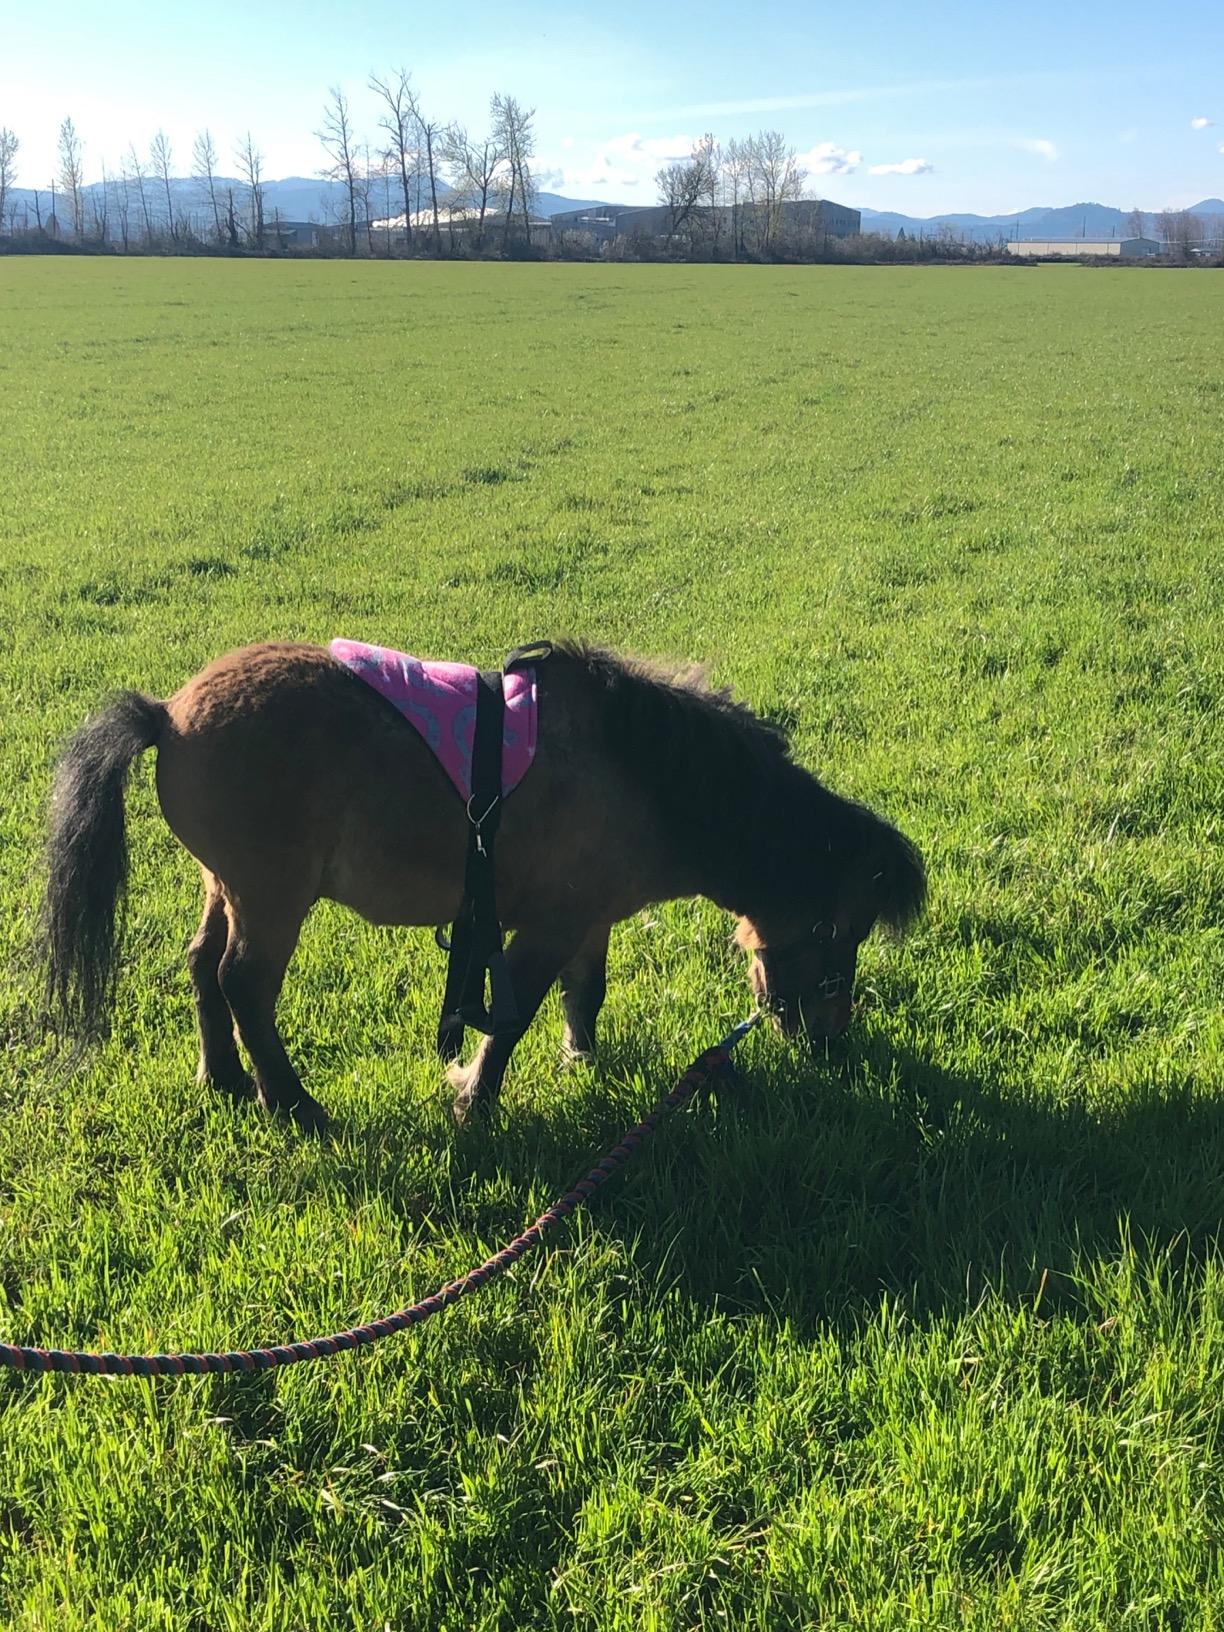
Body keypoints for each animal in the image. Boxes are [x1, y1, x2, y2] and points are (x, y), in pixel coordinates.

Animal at [41, 640, 926, 1133]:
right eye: (838, 934)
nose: (829, 1041)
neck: (641, 773)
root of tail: (168, 712)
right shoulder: (543, 927)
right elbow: (511, 1014)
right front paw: (477, 1099)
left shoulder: (589, 919)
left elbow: (584, 994)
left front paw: (580, 1059)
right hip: (272, 896)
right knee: (243, 983)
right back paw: (292, 1105)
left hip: (224, 885)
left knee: (201, 966)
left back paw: (224, 1078)